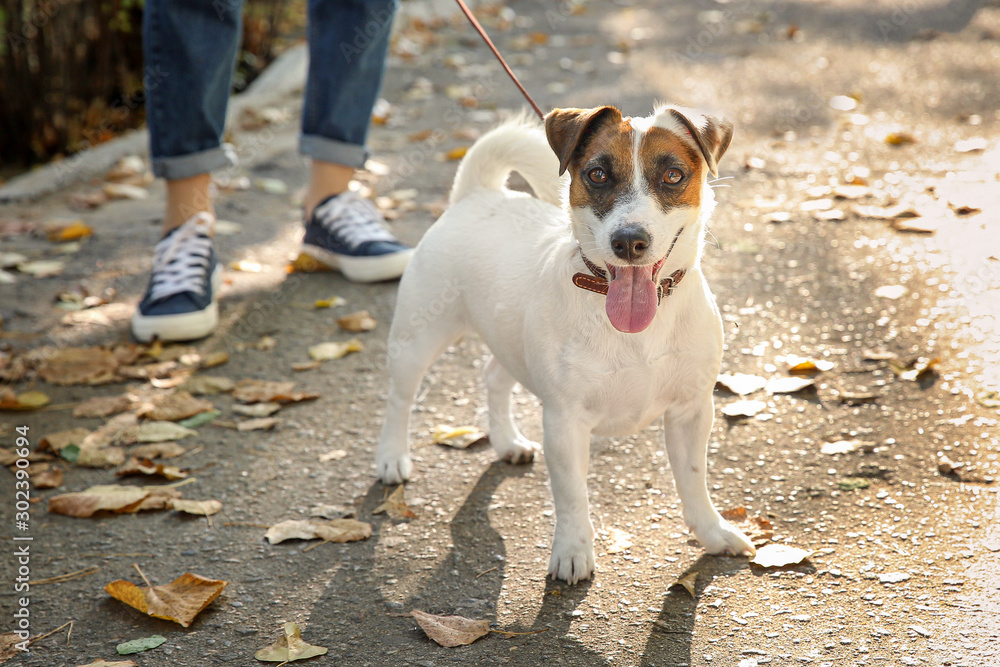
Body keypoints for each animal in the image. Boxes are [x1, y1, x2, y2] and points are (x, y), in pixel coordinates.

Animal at [374, 105, 752, 584]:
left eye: (672, 175)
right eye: (596, 174)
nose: (629, 241)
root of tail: (479, 194)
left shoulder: (692, 410)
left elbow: (694, 479)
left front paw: (713, 533)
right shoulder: (564, 422)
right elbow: (572, 496)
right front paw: (572, 552)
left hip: (507, 338)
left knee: (493, 376)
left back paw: (507, 441)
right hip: (417, 339)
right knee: (399, 399)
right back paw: (391, 457)